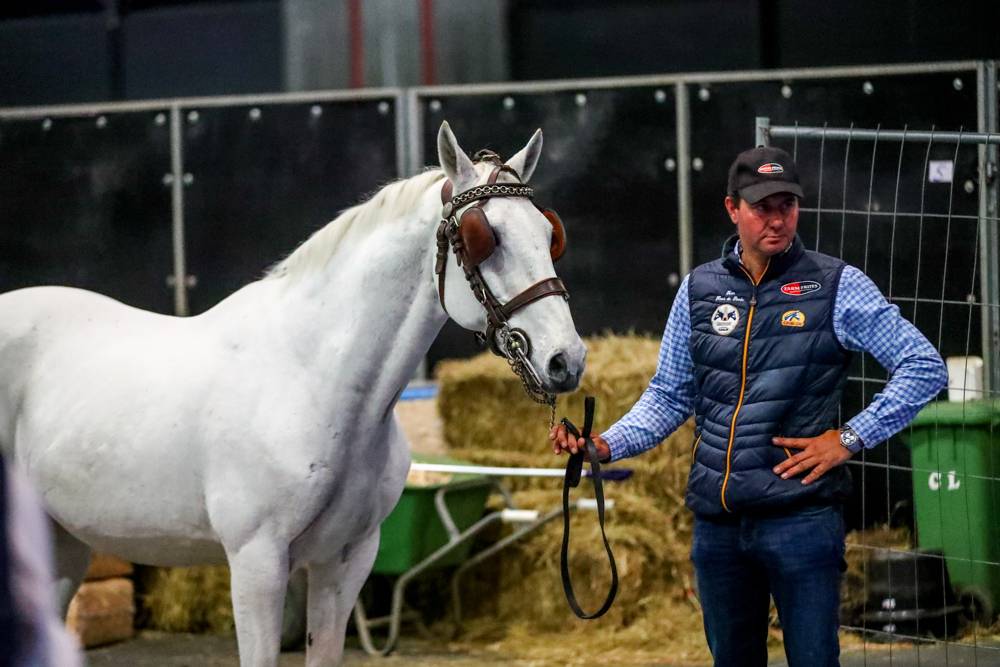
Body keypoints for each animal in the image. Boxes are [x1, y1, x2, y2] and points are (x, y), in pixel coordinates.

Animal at [0, 122, 584, 664]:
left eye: (547, 233)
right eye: (484, 236)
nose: (566, 360)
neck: (312, 377)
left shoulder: (345, 559)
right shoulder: (256, 561)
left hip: (64, 544)